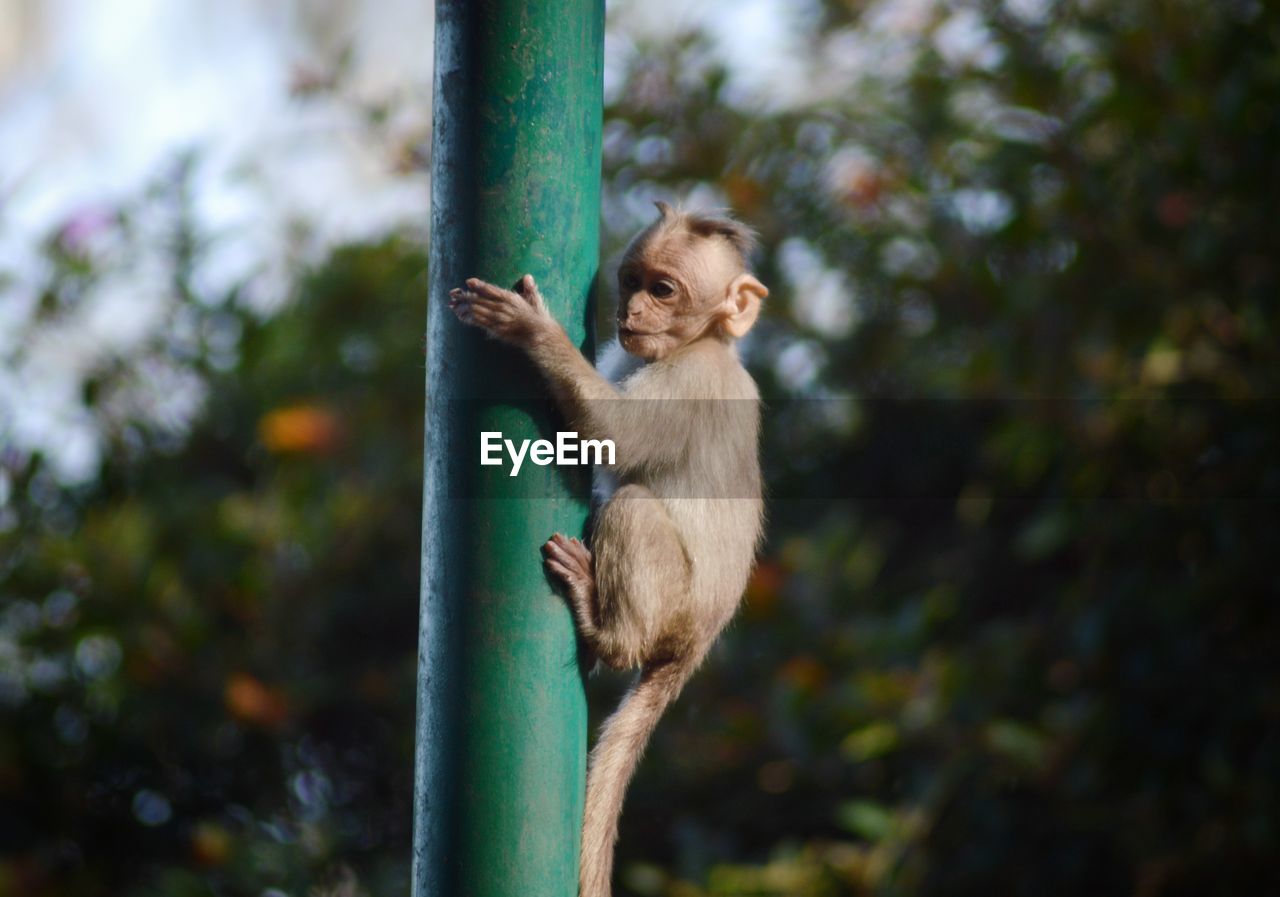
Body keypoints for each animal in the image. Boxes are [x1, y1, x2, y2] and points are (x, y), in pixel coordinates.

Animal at [453, 203, 768, 895]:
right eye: (631, 280)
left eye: (664, 289)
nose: (633, 311)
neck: (704, 343)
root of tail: (697, 642)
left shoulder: (689, 384)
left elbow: (614, 437)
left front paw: (532, 332)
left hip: (674, 605)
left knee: (632, 504)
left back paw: (605, 631)